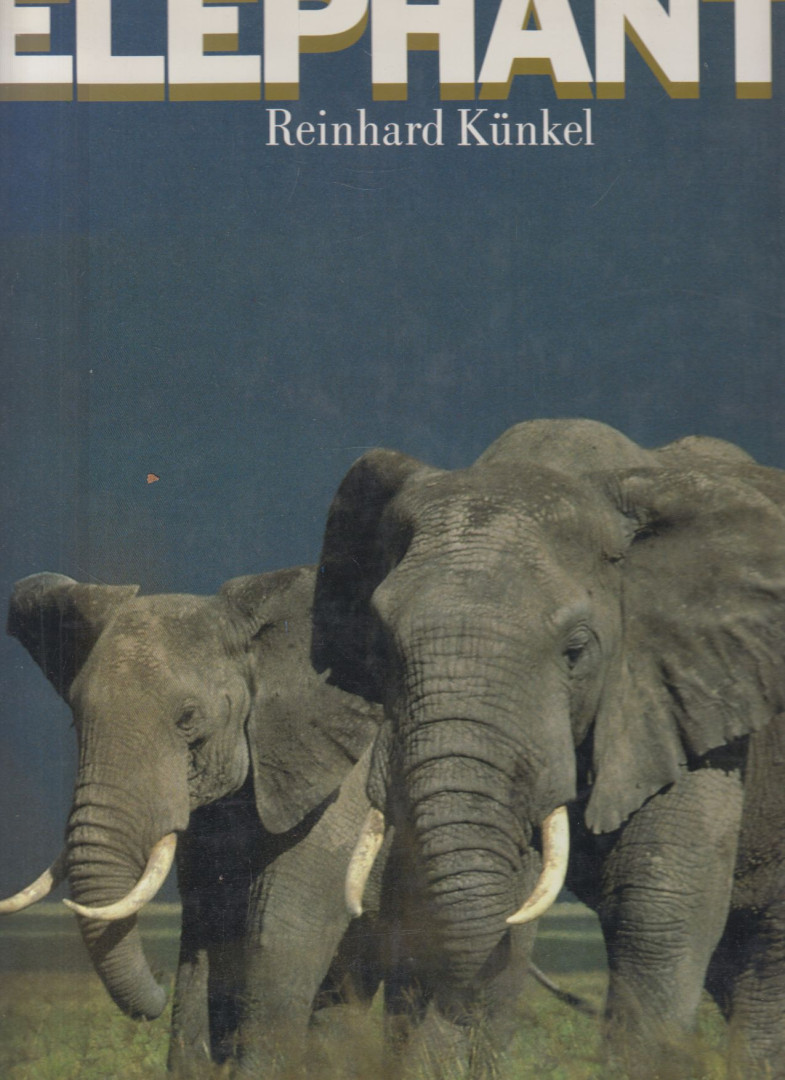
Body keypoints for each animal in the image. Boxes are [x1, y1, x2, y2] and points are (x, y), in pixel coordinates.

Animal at [0, 564, 384, 1075]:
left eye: (187, 719)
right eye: (75, 721)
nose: (158, 992)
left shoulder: (340, 777)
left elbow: (282, 926)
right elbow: (207, 927)